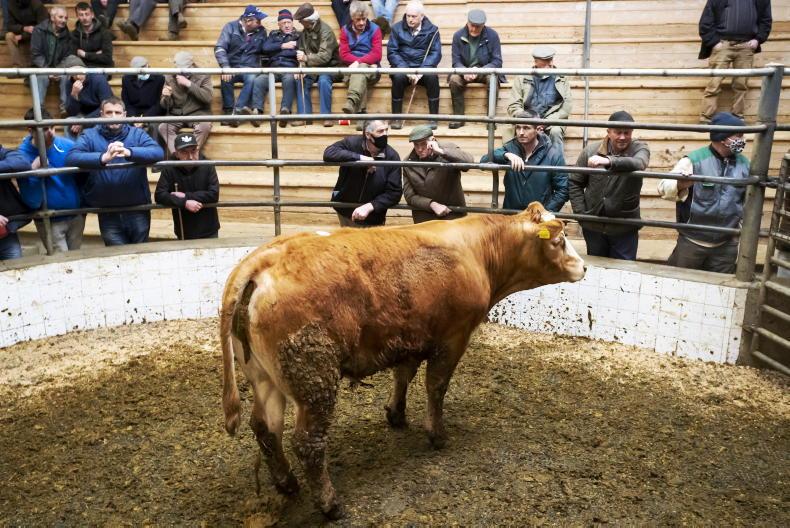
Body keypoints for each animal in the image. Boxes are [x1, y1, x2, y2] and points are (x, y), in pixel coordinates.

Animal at [220, 201, 585, 519]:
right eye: (559, 241)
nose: (583, 266)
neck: (477, 251)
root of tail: (266, 257)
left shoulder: (409, 336)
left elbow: (402, 376)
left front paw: (396, 414)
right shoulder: (453, 338)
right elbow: (436, 386)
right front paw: (437, 434)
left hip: (264, 377)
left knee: (266, 428)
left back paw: (287, 482)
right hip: (313, 378)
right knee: (308, 442)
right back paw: (329, 504)